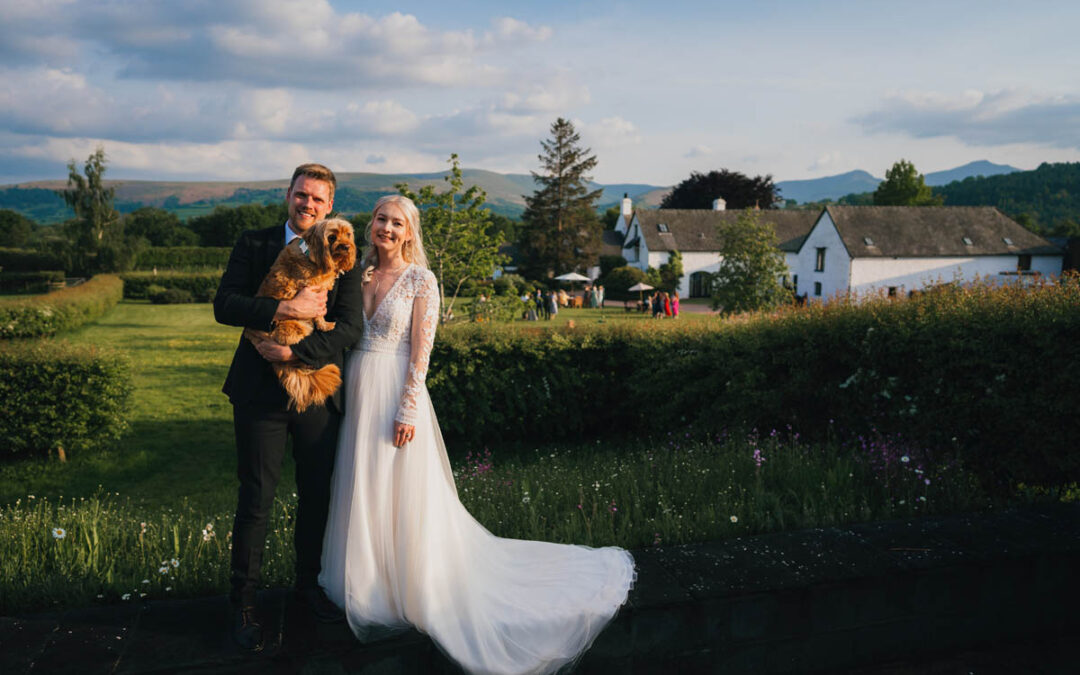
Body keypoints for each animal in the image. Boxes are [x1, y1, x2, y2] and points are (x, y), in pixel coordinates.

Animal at [245, 216, 358, 410]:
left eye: (347, 235)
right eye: (332, 237)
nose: (346, 246)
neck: (311, 255)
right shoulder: (312, 291)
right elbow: (318, 314)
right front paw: (325, 325)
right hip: (296, 327)